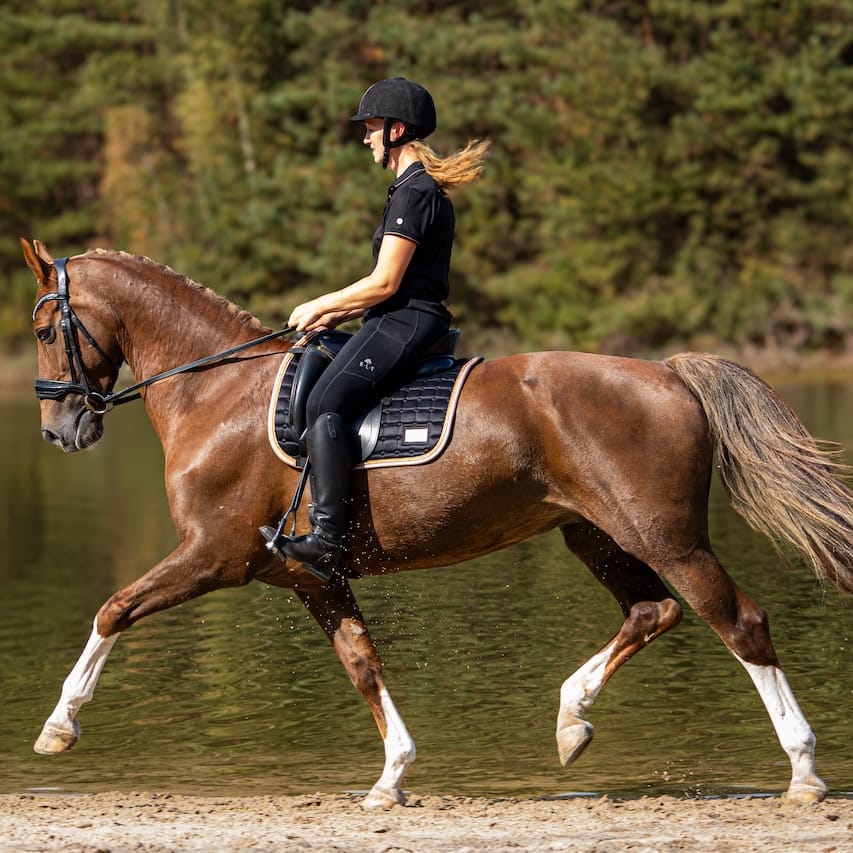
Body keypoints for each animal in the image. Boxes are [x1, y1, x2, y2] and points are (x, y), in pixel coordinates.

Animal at [22, 238, 853, 809]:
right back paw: (571, 720)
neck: (217, 392)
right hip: (594, 533)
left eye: (43, 330)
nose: (59, 430)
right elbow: (361, 661)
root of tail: (667, 372)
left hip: (667, 535)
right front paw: (391, 776)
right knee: (653, 610)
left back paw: (804, 769)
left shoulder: (212, 554)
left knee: (737, 620)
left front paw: (58, 726)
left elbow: (113, 608)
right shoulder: (308, 575)